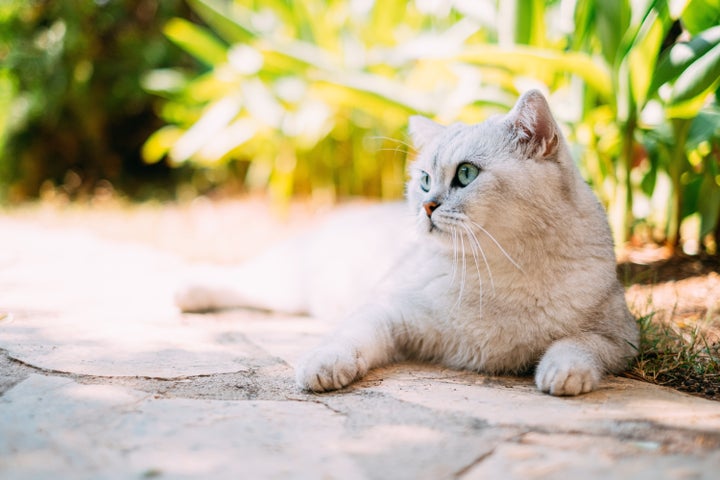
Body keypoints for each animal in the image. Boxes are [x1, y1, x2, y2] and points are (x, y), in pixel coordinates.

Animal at [177, 90, 640, 398]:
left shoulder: (621, 338)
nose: (427, 206)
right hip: (286, 283)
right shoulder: (389, 311)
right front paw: (323, 365)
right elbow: (349, 337)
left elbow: (578, 345)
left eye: (466, 174)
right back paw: (187, 292)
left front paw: (561, 373)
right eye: (424, 180)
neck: (499, 271)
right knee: (236, 278)